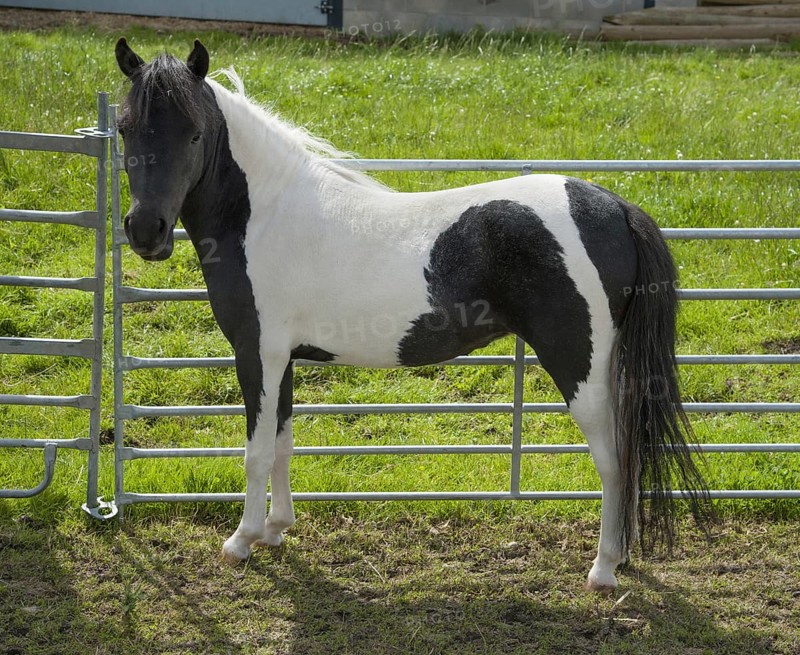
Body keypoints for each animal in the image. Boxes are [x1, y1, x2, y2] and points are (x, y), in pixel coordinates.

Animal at [115, 38, 709, 593]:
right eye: (124, 129)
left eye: (194, 134)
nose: (146, 232)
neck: (265, 213)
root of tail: (615, 207)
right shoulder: (281, 359)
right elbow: (282, 441)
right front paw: (277, 529)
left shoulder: (257, 354)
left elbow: (257, 452)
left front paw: (241, 541)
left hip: (579, 365)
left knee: (613, 459)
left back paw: (604, 568)